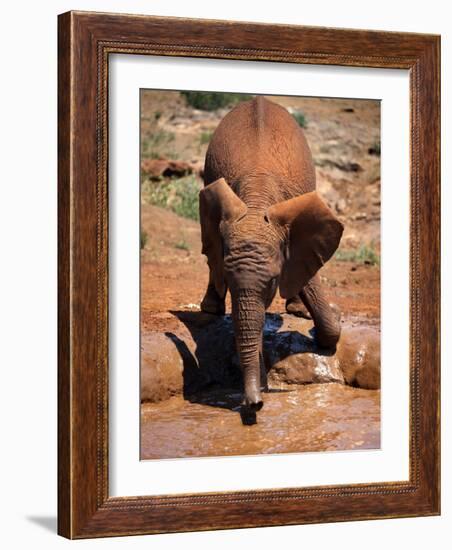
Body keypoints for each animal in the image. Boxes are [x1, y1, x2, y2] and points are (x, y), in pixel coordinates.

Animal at [199, 96, 342, 414]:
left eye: (273, 283)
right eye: (230, 281)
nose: (255, 404)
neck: (256, 203)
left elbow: (308, 278)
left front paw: (317, 330)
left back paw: (299, 311)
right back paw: (210, 310)